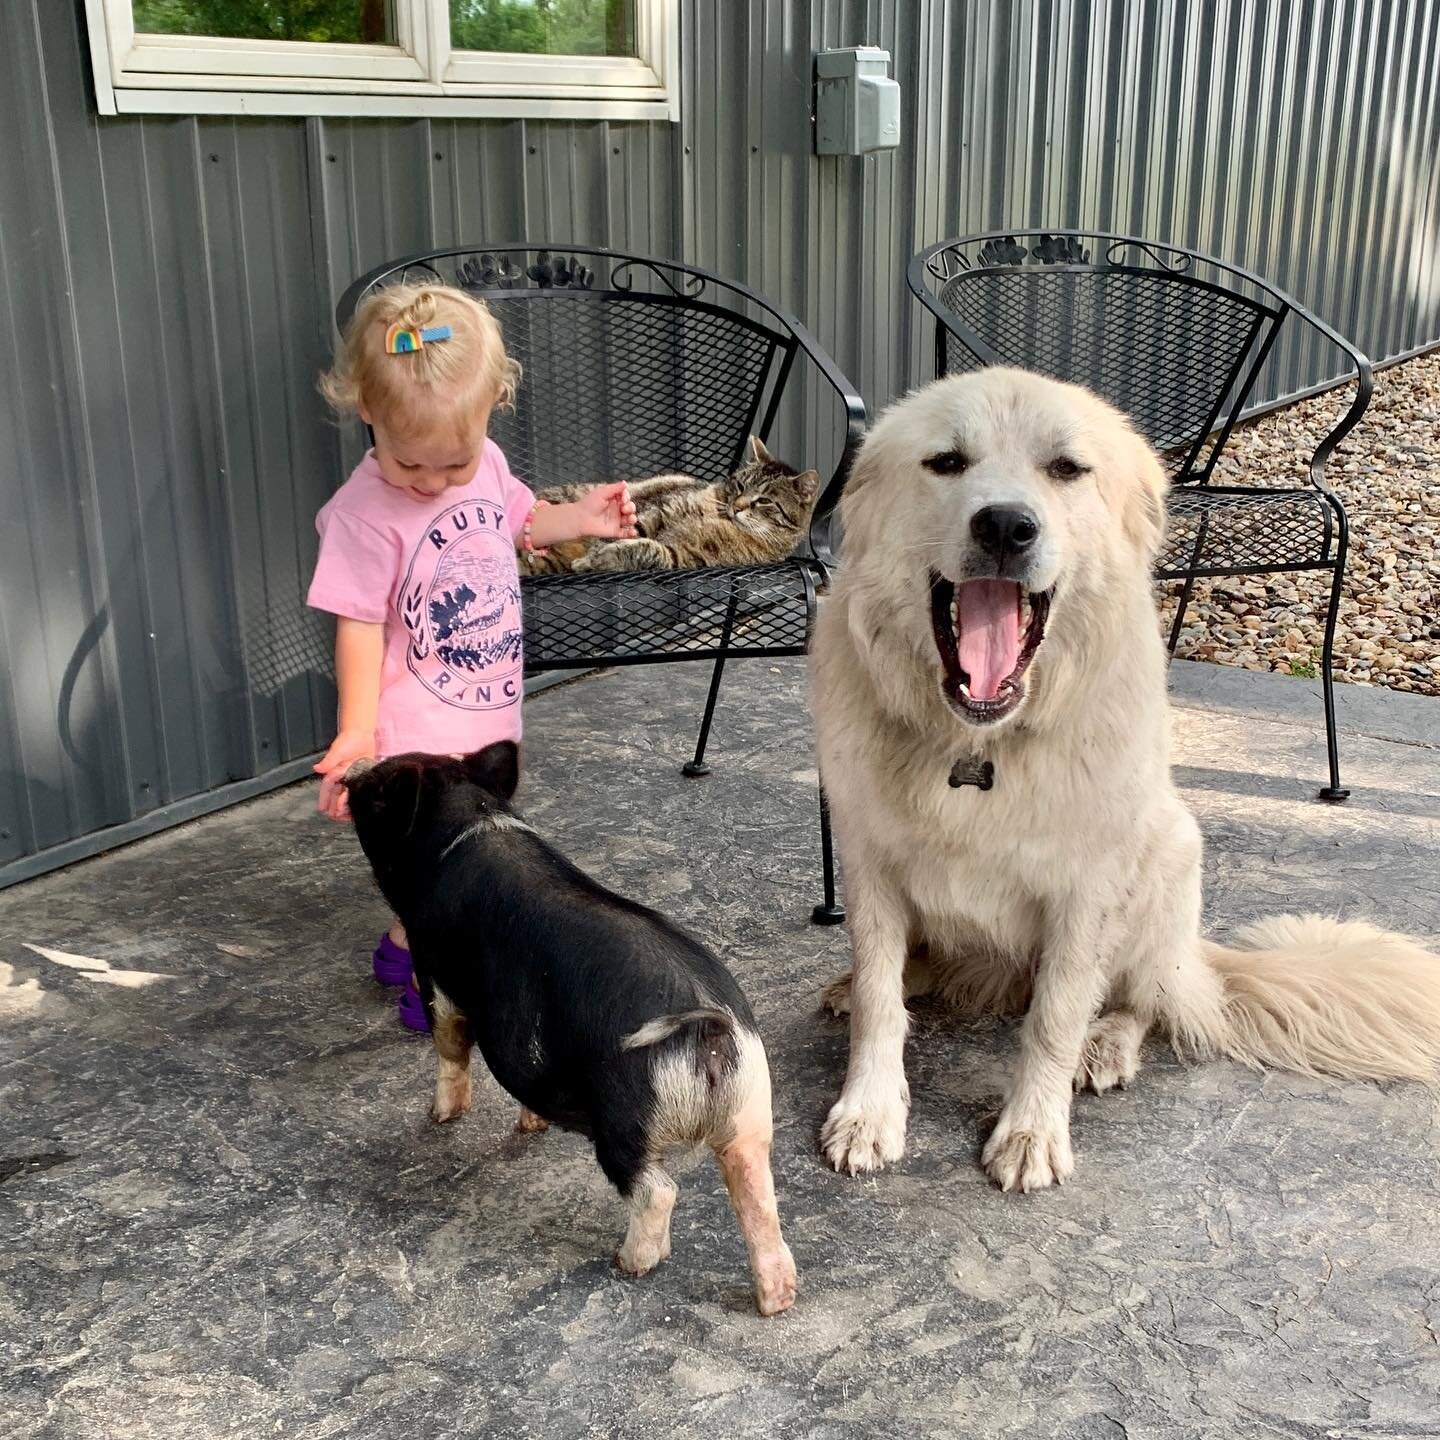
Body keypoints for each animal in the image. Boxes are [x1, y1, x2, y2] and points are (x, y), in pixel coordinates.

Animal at [518, 434, 817, 576]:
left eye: (764, 500)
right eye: (740, 486)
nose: (738, 506)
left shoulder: (686, 557)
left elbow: (650, 550)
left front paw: (601, 558)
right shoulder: (655, 509)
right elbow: (624, 534)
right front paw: (594, 555)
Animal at [812, 371, 1440, 1192]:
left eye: (1066, 469)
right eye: (946, 461)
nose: (1006, 527)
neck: (979, 745)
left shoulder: (1085, 891)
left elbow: (1054, 1018)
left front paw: (1032, 1131)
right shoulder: (871, 867)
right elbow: (881, 999)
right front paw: (869, 1112)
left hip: (1171, 852)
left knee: (1145, 999)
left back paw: (1106, 1044)